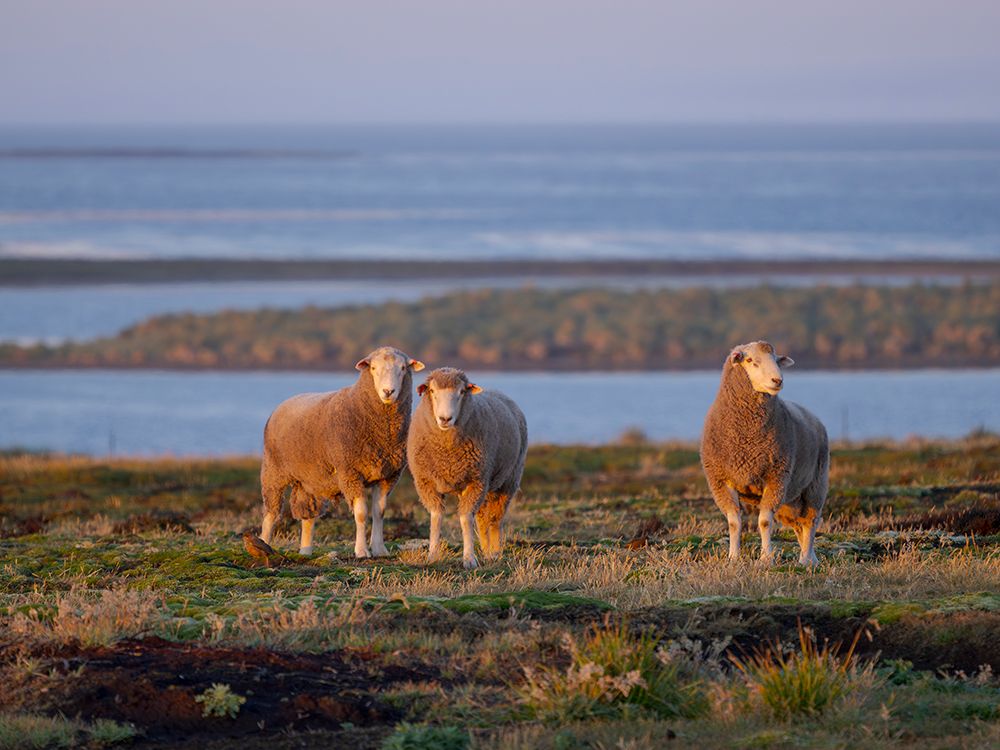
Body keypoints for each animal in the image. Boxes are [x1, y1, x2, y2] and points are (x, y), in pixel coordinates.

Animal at [259, 346, 424, 557]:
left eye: (403, 368)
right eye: (373, 368)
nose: (388, 391)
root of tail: (284, 402)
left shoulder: (387, 476)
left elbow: (379, 512)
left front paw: (380, 549)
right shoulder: (350, 473)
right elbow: (361, 514)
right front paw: (361, 551)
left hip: (309, 480)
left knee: (308, 515)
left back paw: (305, 551)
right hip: (274, 470)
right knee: (271, 512)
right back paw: (262, 544)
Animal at [406, 367, 528, 569]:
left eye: (462, 391)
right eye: (432, 391)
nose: (445, 419)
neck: (447, 453)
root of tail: (497, 391)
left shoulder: (475, 481)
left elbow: (465, 519)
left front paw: (469, 558)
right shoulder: (426, 483)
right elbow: (436, 517)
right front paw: (433, 555)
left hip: (507, 480)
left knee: (495, 519)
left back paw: (495, 552)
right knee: (482, 518)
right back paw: (486, 550)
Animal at [700, 340, 829, 566]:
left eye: (776, 360)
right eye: (750, 360)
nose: (778, 380)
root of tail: (816, 418)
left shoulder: (775, 478)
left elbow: (765, 522)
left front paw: (766, 558)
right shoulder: (721, 480)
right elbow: (734, 523)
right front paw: (733, 557)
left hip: (815, 485)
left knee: (811, 521)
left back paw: (805, 560)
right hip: (790, 498)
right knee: (798, 524)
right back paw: (810, 558)